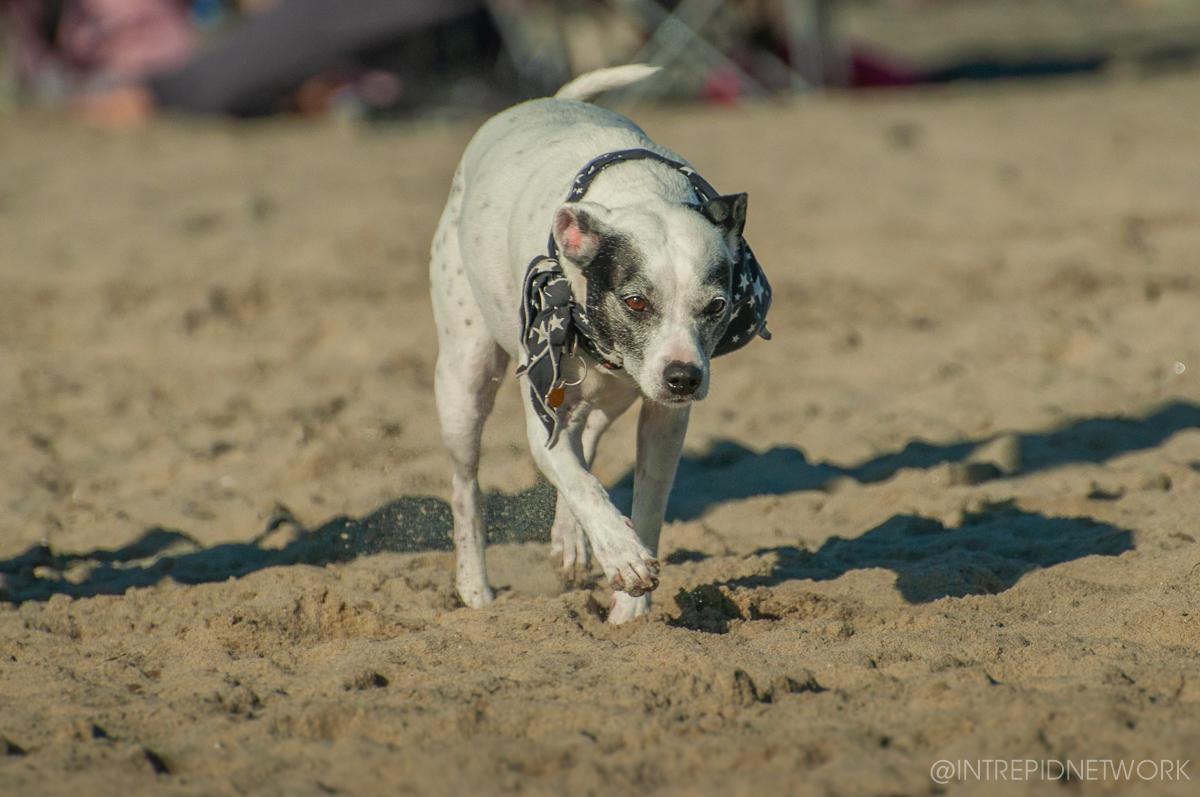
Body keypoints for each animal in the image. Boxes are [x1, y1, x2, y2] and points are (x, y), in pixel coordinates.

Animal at [432, 63, 768, 624]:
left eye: (717, 306)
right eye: (635, 301)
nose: (684, 378)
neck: (638, 196)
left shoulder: (664, 420)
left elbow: (646, 503)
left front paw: (632, 610)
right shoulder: (541, 410)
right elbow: (579, 481)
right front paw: (622, 554)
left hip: (614, 397)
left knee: (585, 438)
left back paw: (570, 542)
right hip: (464, 379)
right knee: (466, 488)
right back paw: (475, 589)